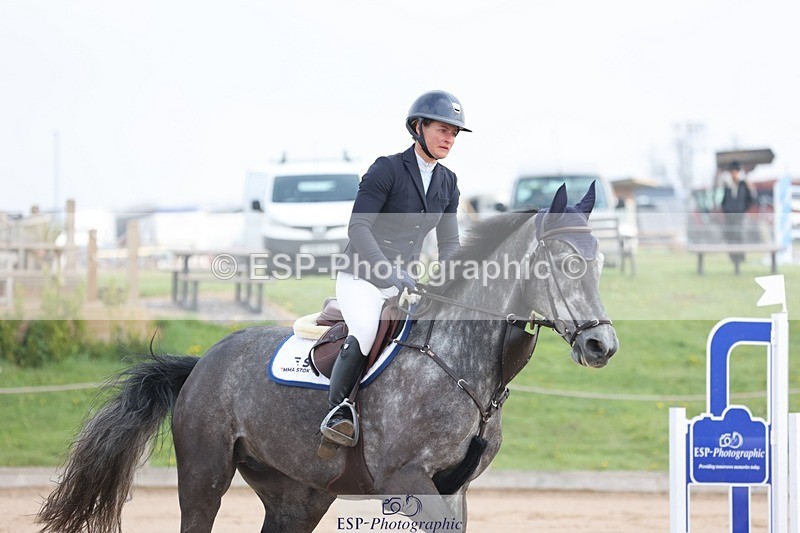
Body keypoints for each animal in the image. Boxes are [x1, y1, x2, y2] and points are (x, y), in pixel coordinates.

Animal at [37, 183, 619, 532]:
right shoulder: (406, 478)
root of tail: (201, 364)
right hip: (204, 476)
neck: (457, 366)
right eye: (567, 262)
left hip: (298, 494)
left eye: (598, 262)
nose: (602, 346)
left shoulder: (455, 488)